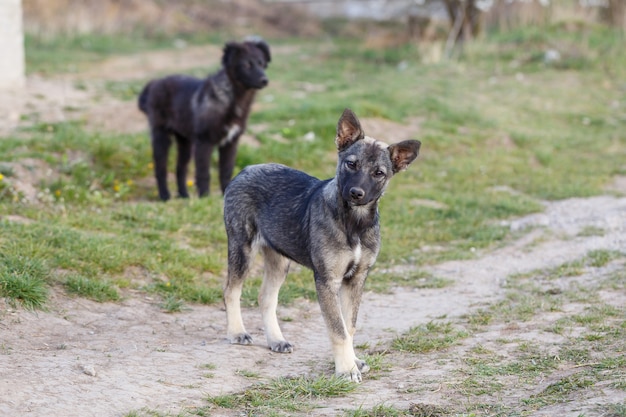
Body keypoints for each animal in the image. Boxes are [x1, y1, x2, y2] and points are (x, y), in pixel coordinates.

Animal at [138, 38, 270, 201]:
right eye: (247, 64)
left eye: (261, 64)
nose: (265, 80)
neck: (233, 99)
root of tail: (154, 83)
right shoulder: (204, 142)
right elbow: (203, 173)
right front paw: (204, 197)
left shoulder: (231, 142)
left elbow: (226, 171)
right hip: (161, 136)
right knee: (160, 168)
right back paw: (164, 195)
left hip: (185, 141)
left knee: (180, 168)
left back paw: (184, 195)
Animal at [222, 109, 422, 382]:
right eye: (351, 164)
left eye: (379, 173)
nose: (356, 193)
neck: (354, 223)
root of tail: (246, 170)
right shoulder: (327, 280)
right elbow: (338, 329)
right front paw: (346, 369)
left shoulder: (356, 279)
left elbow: (349, 326)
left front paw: (353, 361)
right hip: (242, 247)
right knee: (231, 290)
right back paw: (236, 332)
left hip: (279, 259)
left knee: (266, 297)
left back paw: (276, 340)